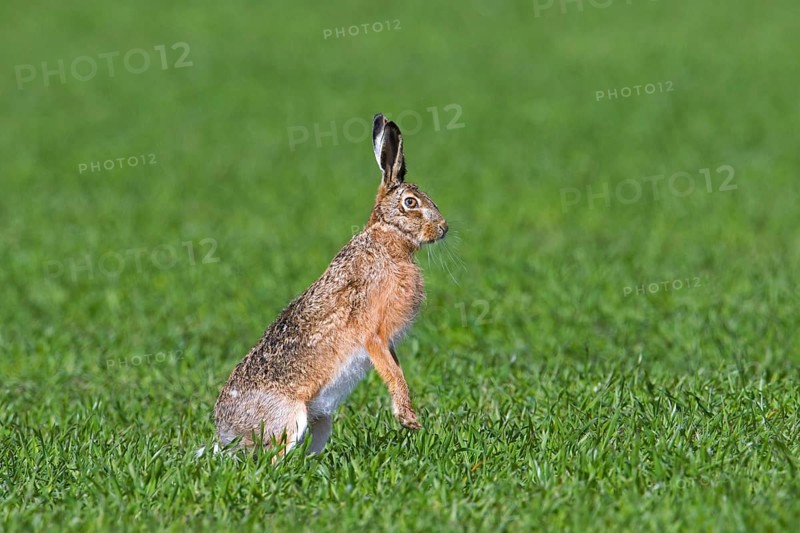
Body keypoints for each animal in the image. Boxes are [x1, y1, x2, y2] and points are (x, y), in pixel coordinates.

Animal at [213, 113, 448, 455]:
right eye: (410, 202)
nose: (444, 228)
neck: (388, 241)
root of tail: (226, 433)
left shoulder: (387, 342)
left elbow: (395, 366)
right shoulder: (372, 332)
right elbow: (391, 371)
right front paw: (408, 419)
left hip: (321, 422)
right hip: (289, 421)